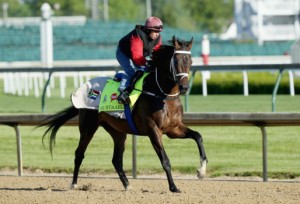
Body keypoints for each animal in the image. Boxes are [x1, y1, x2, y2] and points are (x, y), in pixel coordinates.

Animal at [39, 35, 207, 193]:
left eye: (190, 61)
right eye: (176, 61)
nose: (184, 88)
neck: (163, 95)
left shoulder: (173, 129)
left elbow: (198, 136)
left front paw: (201, 171)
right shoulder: (154, 130)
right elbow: (165, 161)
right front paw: (173, 187)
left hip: (118, 131)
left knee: (116, 160)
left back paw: (128, 185)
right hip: (88, 127)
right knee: (79, 153)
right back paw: (74, 183)